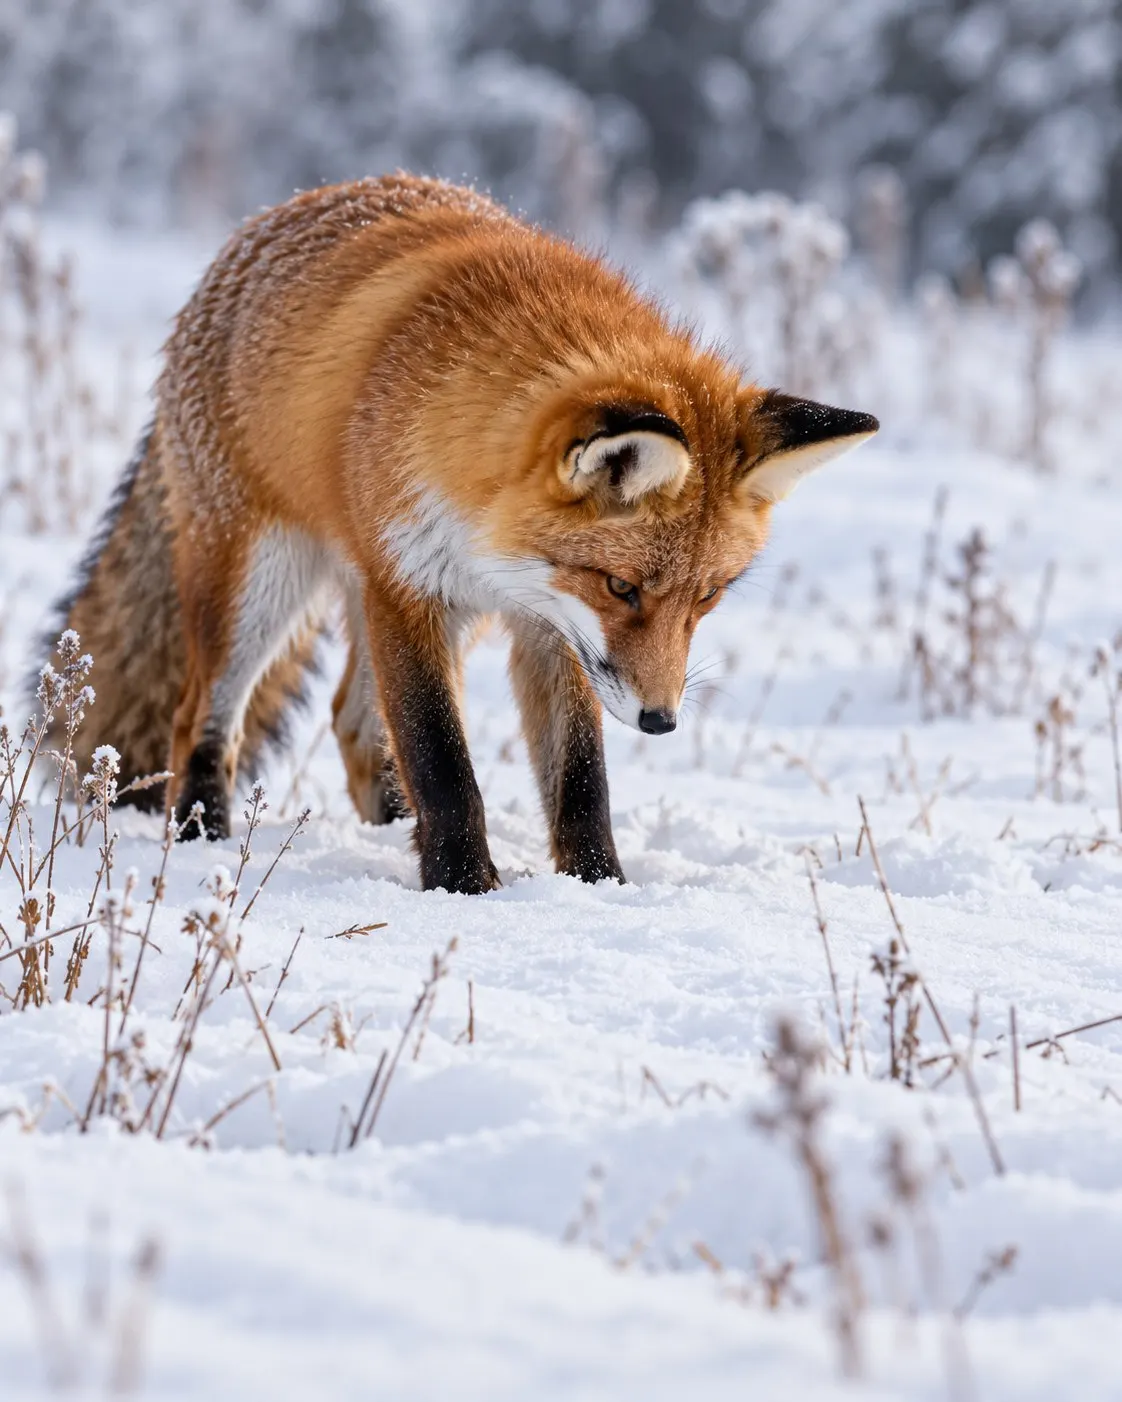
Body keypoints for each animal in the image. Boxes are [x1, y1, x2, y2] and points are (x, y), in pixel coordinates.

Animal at [42, 174, 877, 894]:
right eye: (622, 586)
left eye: (708, 598)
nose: (660, 720)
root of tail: (271, 217)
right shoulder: (410, 588)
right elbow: (442, 761)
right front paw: (463, 887)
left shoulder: (549, 625)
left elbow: (580, 777)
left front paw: (598, 885)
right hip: (261, 582)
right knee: (201, 720)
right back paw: (201, 837)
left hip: (424, 612)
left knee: (353, 724)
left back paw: (389, 829)